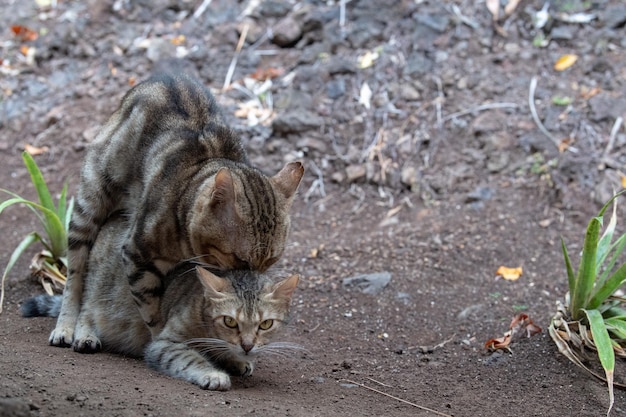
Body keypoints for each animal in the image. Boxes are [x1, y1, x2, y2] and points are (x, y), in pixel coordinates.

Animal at [48, 73, 302, 346]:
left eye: (272, 261)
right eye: (240, 259)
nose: (251, 280)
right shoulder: (137, 257)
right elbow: (152, 311)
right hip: (89, 204)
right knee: (76, 279)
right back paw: (66, 328)